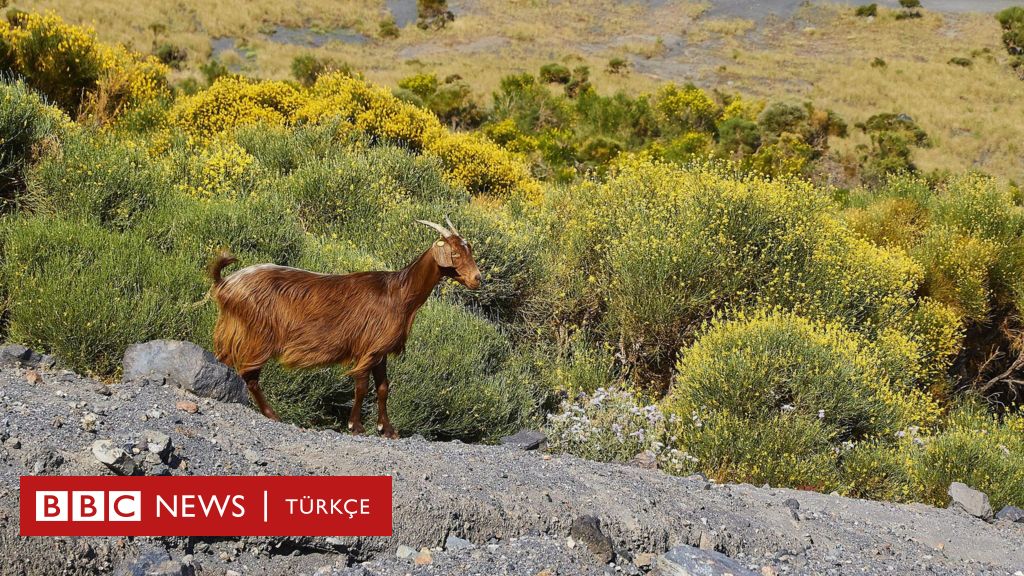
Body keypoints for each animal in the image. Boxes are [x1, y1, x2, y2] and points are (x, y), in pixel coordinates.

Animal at [207, 216, 483, 434]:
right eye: (455, 253)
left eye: (469, 250)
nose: (477, 278)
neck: (399, 293)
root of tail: (226, 284)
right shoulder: (367, 346)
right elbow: (361, 386)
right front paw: (356, 426)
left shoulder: (380, 350)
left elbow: (383, 387)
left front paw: (387, 429)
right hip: (257, 334)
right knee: (248, 373)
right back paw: (270, 413)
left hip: (236, 331)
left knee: (226, 363)